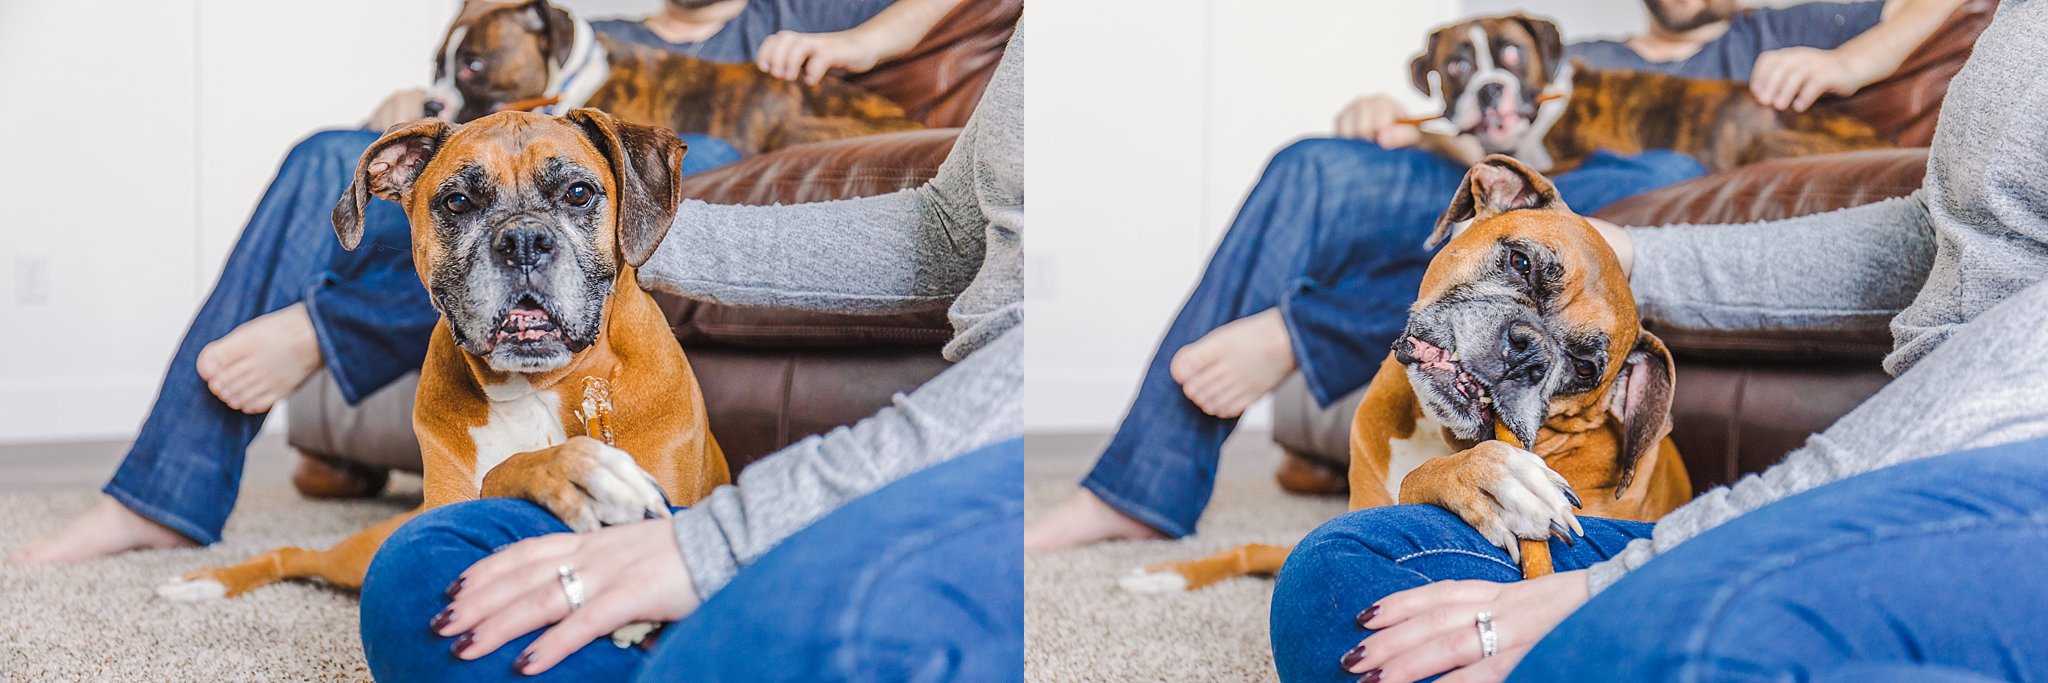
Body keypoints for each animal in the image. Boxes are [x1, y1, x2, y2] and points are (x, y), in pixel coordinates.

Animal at [161, 110, 737, 603]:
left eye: (579, 193)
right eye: (458, 202)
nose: (523, 240)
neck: (536, 388)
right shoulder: (438, 521)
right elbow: (495, 481)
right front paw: (561, 471)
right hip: (371, 548)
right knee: (294, 553)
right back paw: (205, 582)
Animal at [1130, 155, 1687, 590]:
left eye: (1584, 368)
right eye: (1520, 261)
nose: (1530, 352)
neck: (1439, 434)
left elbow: (1417, 479)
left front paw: (1485, 476)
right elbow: (1259, 548)